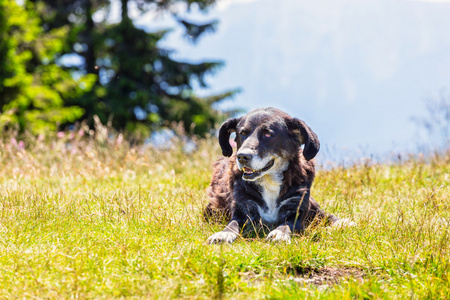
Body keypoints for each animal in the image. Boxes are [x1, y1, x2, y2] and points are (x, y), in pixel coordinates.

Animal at [204, 108, 352, 244]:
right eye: (242, 133)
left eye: (268, 134)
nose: (242, 156)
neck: (269, 181)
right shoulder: (243, 209)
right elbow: (232, 224)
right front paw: (223, 234)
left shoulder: (296, 209)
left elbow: (287, 225)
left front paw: (279, 234)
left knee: (321, 214)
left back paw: (341, 222)